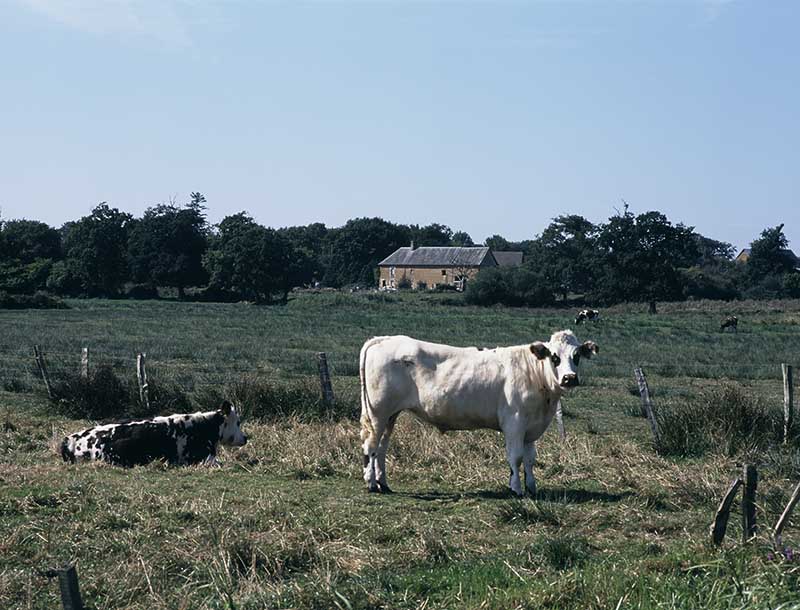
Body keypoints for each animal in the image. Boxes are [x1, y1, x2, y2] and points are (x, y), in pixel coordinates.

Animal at [360, 328, 596, 494]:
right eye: (554, 356)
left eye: (577, 355)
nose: (569, 378)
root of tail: (383, 339)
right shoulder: (514, 422)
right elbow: (516, 457)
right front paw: (516, 489)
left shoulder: (531, 428)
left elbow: (530, 459)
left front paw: (532, 487)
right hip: (378, 413)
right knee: (370, 445)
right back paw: (371, 483)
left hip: (391, 415)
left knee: (382, 447)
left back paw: (383, 483)